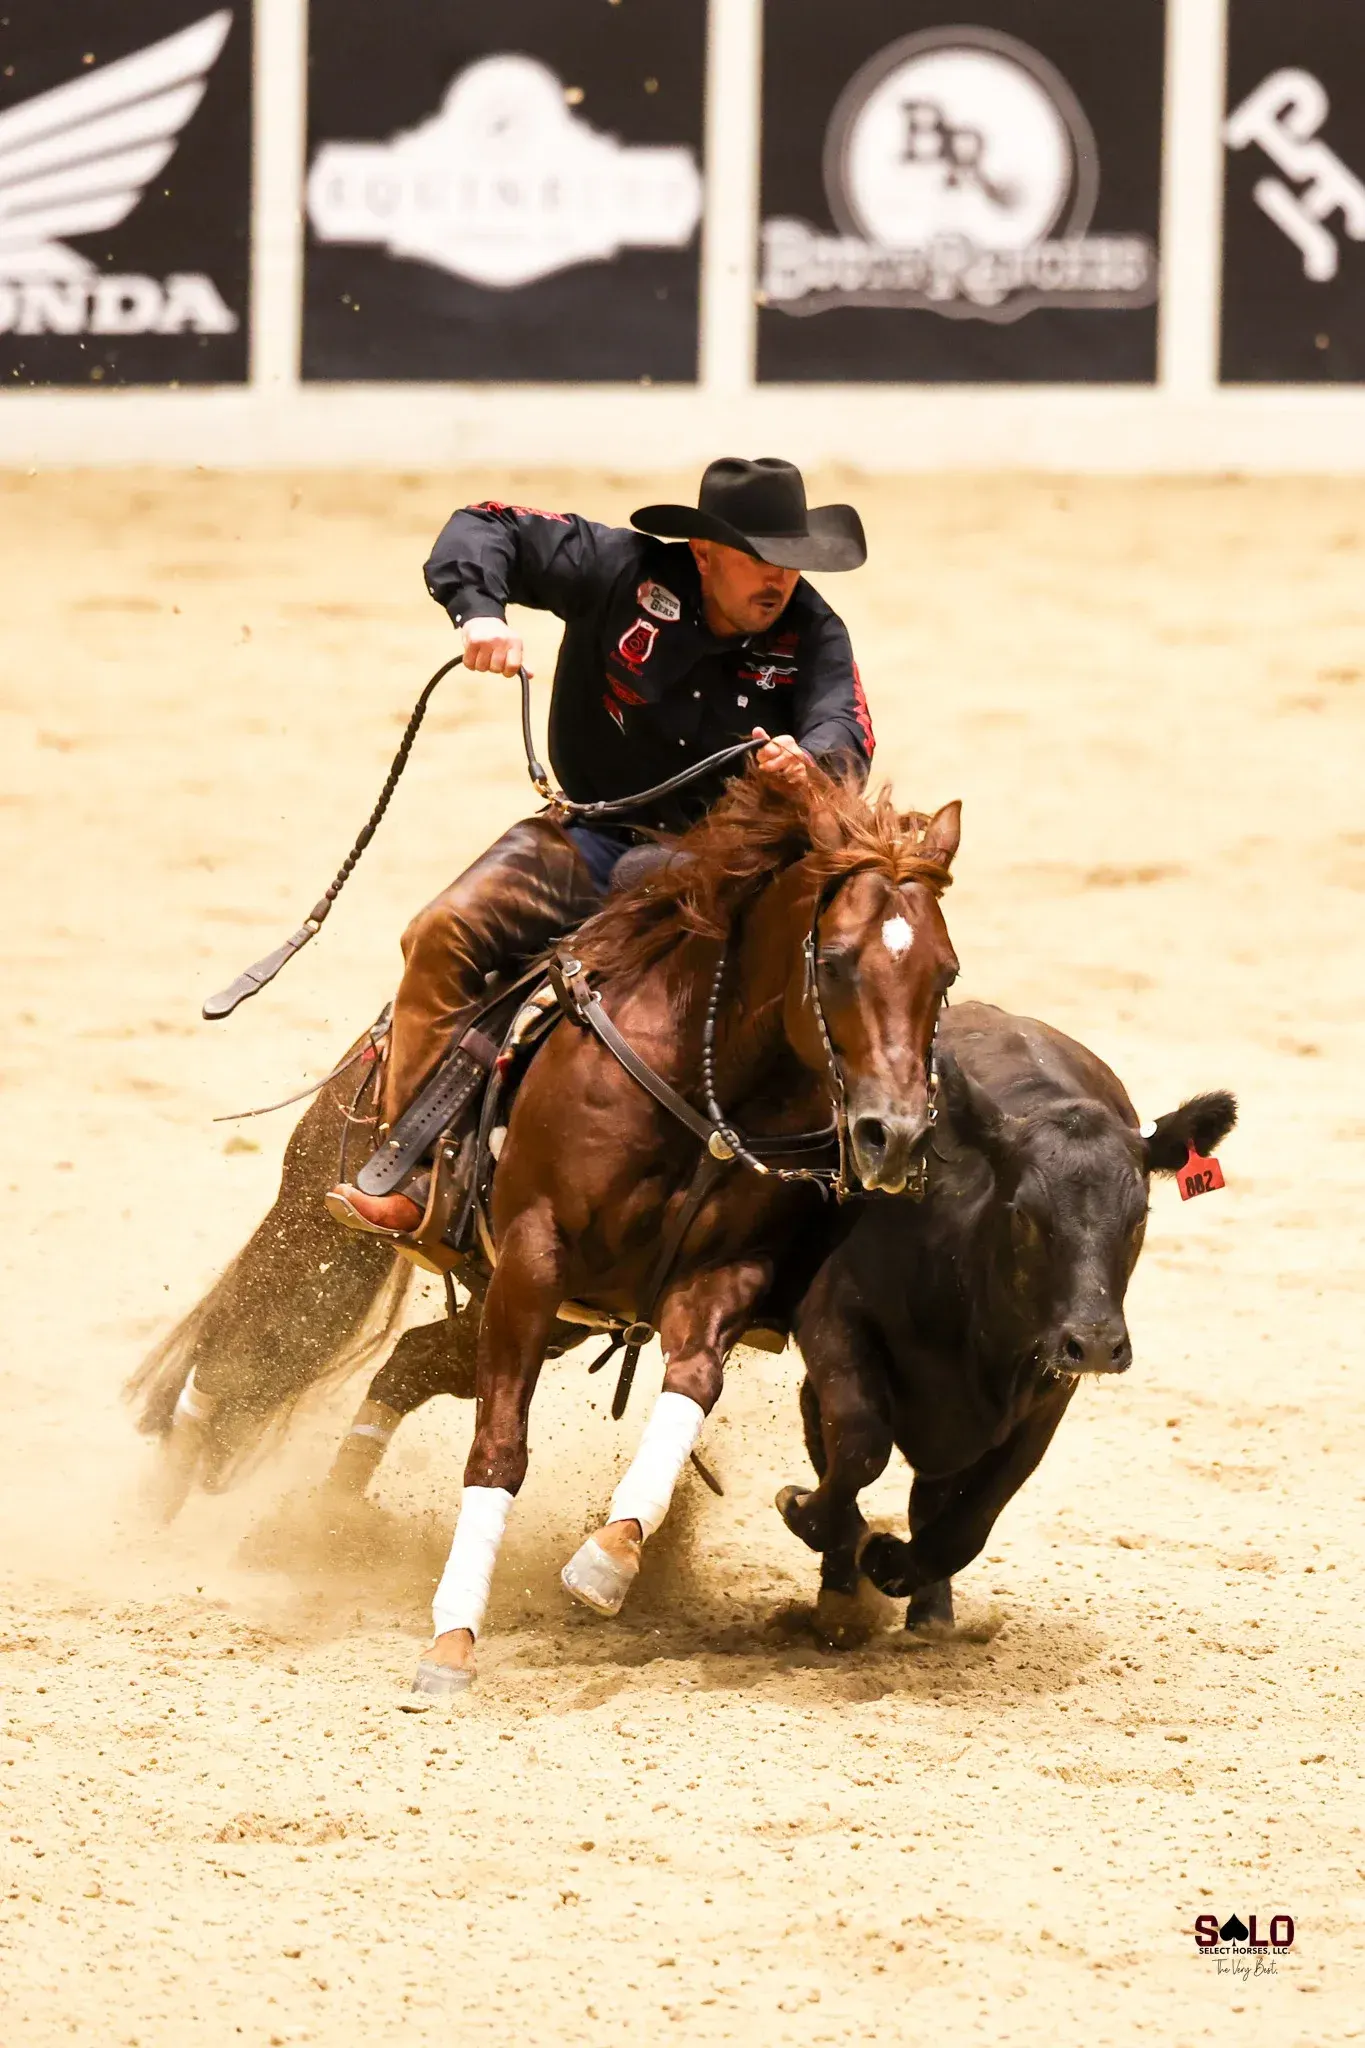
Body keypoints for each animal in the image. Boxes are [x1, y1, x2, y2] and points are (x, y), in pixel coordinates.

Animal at [130, 765, 961, 1694]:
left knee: (404, 1359)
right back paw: (160, 1515)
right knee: (243, 1353)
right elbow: (499, 1450)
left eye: (945, 973)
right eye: (839, 961)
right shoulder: (533, 1259)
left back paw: (328, 1519)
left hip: (547, 1317)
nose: (895, 1136)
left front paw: (609, 1557)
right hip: (325, 1232)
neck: (701, 1076)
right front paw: (452, 1641)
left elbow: (691, 1385)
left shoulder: (719, 1275)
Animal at [776, 1000, 1237, 1644]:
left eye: (1140, 1215)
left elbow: (973, 1517)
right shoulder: (832, 1312)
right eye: (1024, 1212)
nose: (1096, 1344)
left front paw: (895, 1564)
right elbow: (859, 1444)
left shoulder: (1046, 1394)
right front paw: (815, 1524)